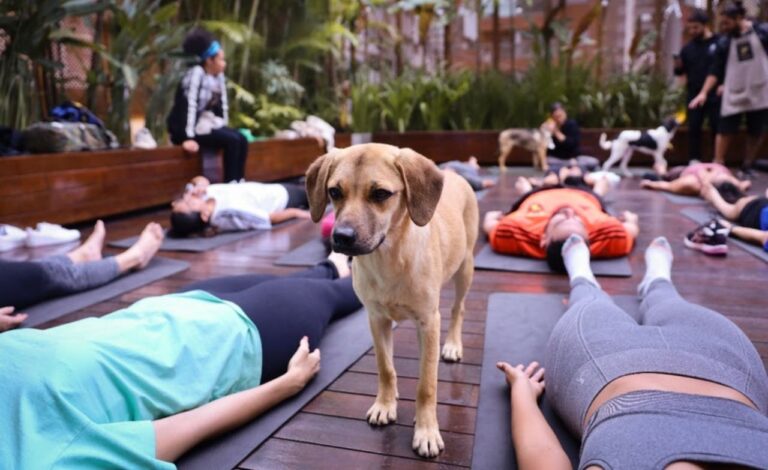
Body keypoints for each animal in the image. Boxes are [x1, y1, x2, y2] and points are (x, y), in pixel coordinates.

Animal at [308, 144, 480, 458]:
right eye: (334, 192)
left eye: (380, 194)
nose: (341, 237)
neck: (388, 258)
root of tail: (454, 174)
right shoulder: (377, 320)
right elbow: (386, 368)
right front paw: (385, 405)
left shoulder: (428, 322)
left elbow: (427, 384)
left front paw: (426, 430)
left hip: (465, 267)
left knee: (458, 309)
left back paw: (452, 345)